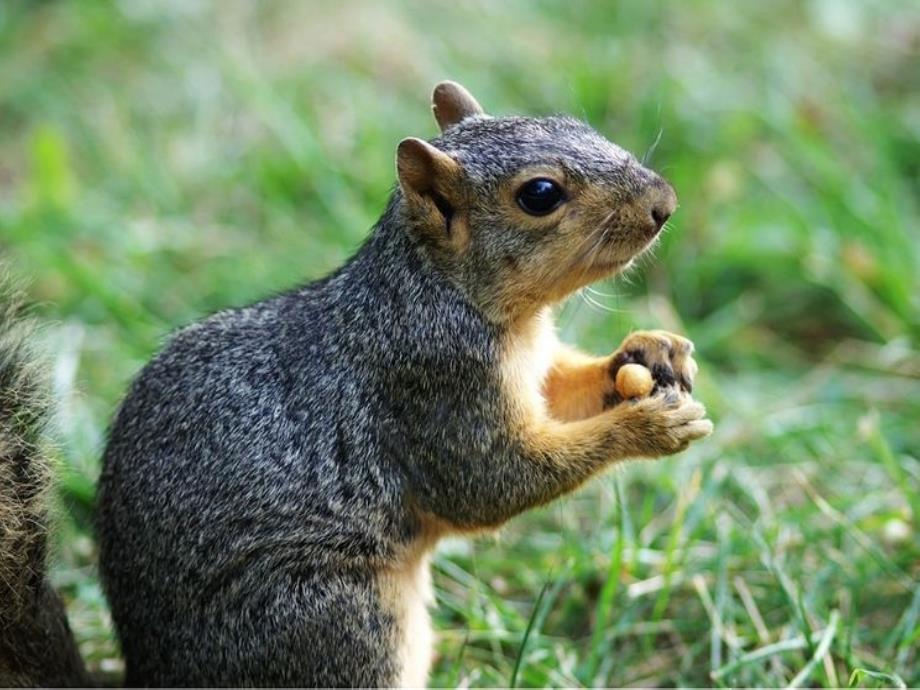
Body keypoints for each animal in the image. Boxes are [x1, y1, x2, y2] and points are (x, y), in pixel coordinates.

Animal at [0, 83, 712, 684]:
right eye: (540, 194)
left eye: (576, 123)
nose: (665, 203)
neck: (444, 293)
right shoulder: (432, 389)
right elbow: (489, 484)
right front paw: (647, 426)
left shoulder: (529, 368)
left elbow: (566, 387)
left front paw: (651, 349)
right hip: (341, 623)